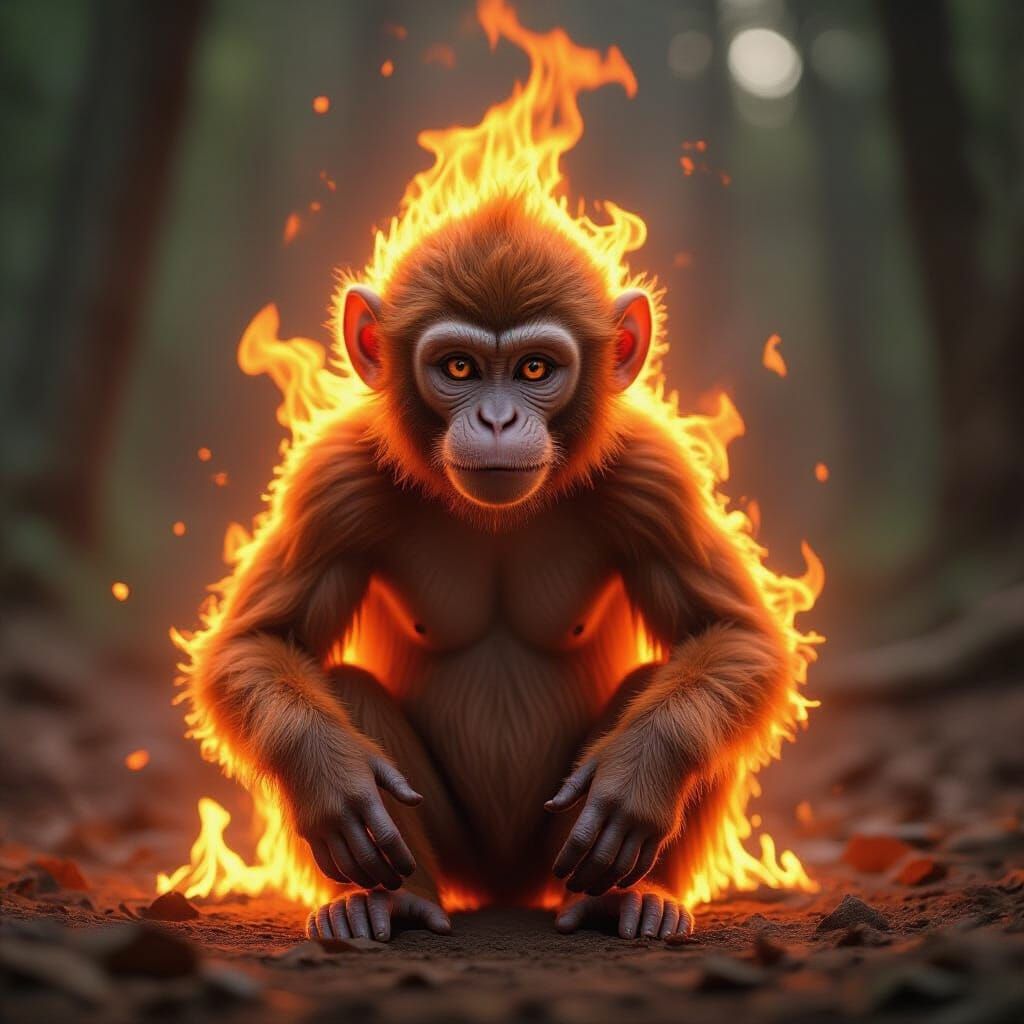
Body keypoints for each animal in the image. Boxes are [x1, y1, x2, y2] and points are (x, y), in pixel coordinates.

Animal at [188, 195, 789, 943]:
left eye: (534, 369)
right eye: (459, 369)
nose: (497, 420)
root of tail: (504, 890)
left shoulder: (653, 474)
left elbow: (733, 635)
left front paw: (641, 778)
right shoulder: (336, 478)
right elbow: (260, 642)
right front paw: (332, 785)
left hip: (558, 851)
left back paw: (631, 895)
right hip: (462, 857)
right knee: (346, 688)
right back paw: (391, 899)